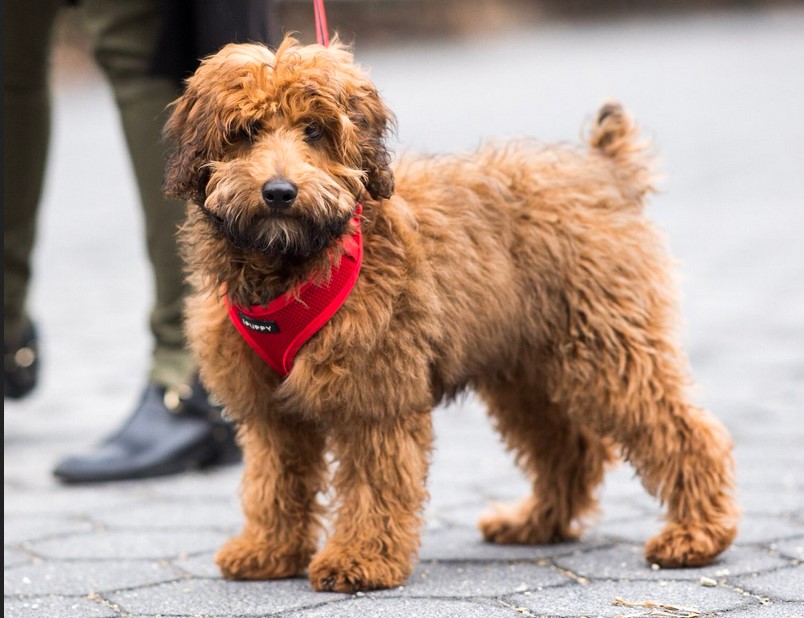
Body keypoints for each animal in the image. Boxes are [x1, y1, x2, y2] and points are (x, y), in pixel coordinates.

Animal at [165, 35, 740, 592]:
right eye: (245, 131)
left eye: (314, 129)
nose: (279, 192)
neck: (298, 264)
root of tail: (605, 170)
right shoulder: (270, 410)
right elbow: (275, 479)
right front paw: (270, 549)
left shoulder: (375, 395)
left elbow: (374, 481)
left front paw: (360, 559)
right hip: (525, 369)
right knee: (568, 447)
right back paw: (534, 523)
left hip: (608, 347)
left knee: (681, 430)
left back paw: (697, 534)